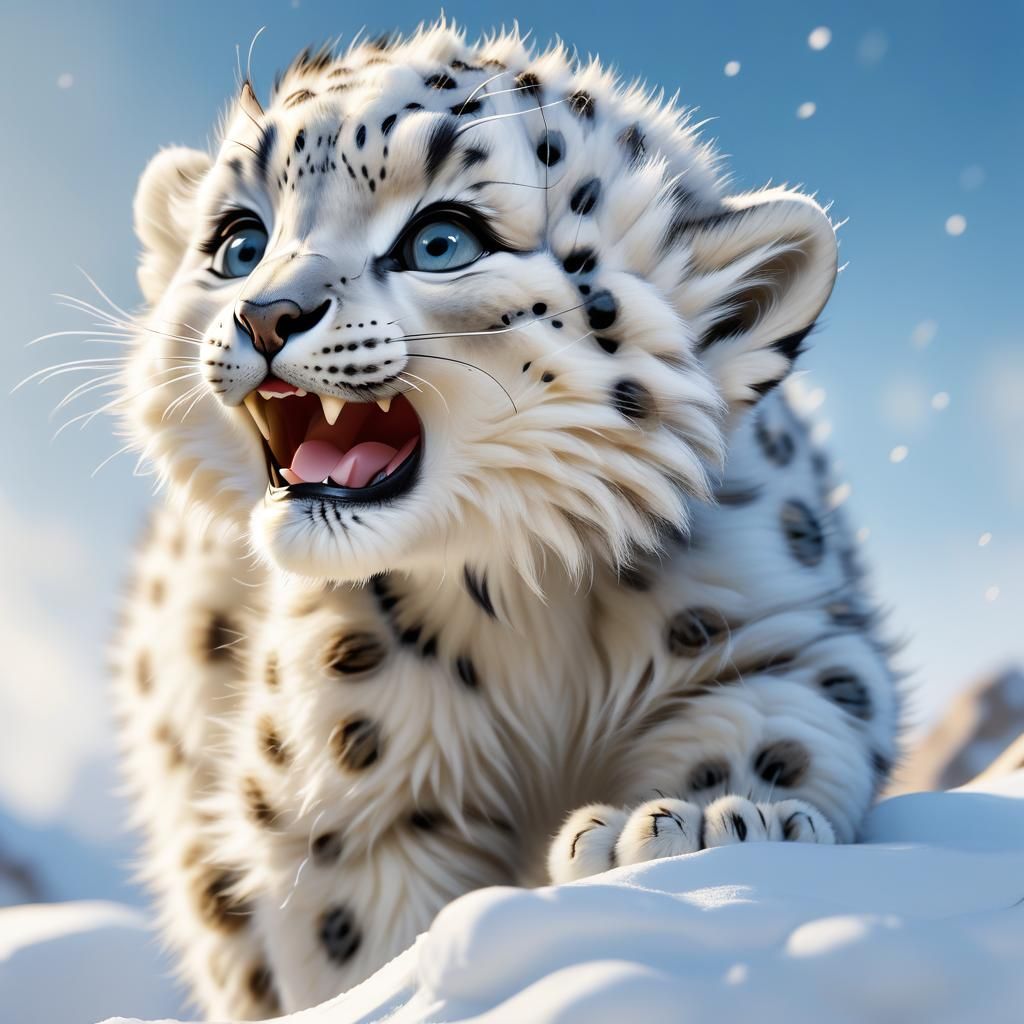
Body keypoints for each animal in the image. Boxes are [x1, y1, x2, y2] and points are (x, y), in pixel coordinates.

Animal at [104, 21, 900, 1018]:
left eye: (443, 240)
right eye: (240, 244)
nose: (267, 313)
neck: (525, 602)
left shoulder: (775, 632)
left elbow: (784, 724)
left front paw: (692, 828)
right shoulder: (349, 784)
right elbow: (361, 942)